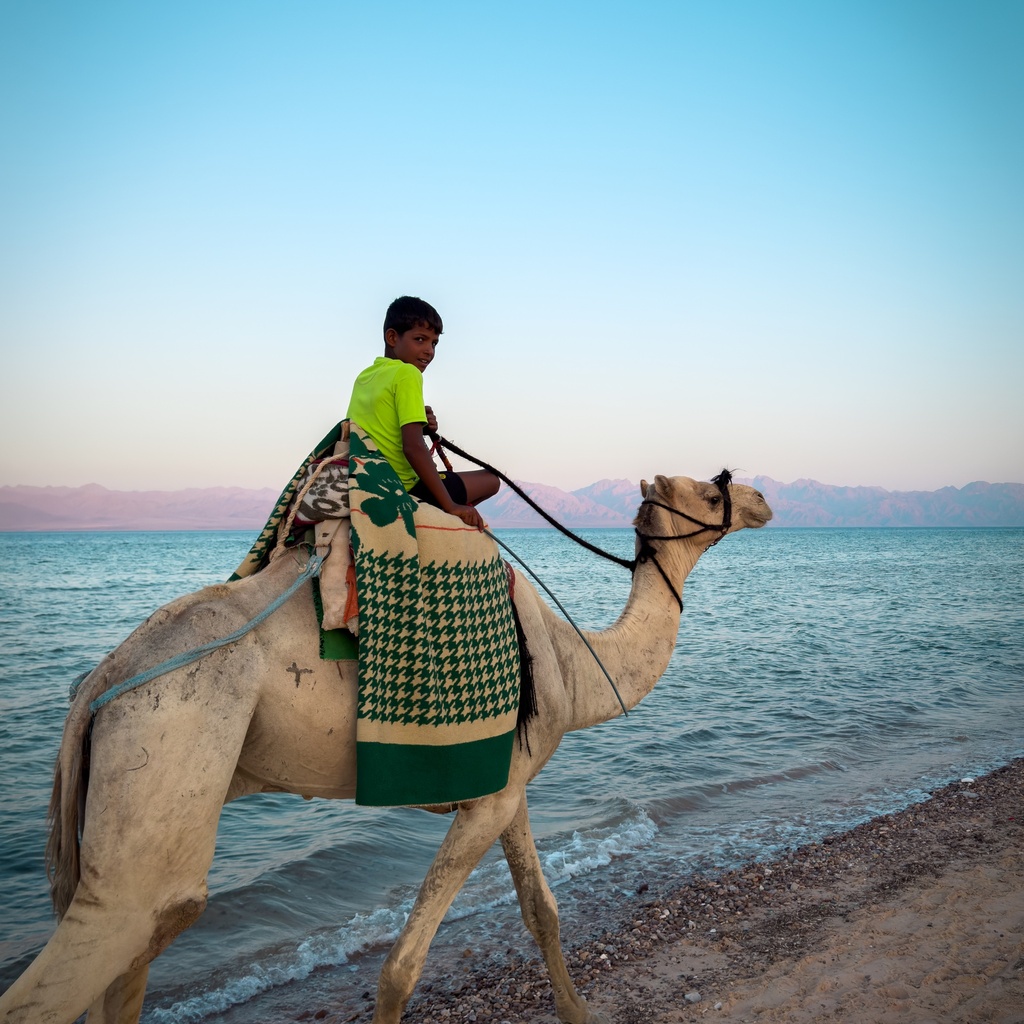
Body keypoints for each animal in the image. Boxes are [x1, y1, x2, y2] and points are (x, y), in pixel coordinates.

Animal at [0, 473, 770, 1024]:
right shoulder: (489, 795)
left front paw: (580, 1013)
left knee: (131, 965)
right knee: (123, 935)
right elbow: (400, 968)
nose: (762, 499)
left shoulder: (506, 787)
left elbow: (541, 911)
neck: (572, 663)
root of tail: (98, 685)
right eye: (710, 493)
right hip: (165, 746)